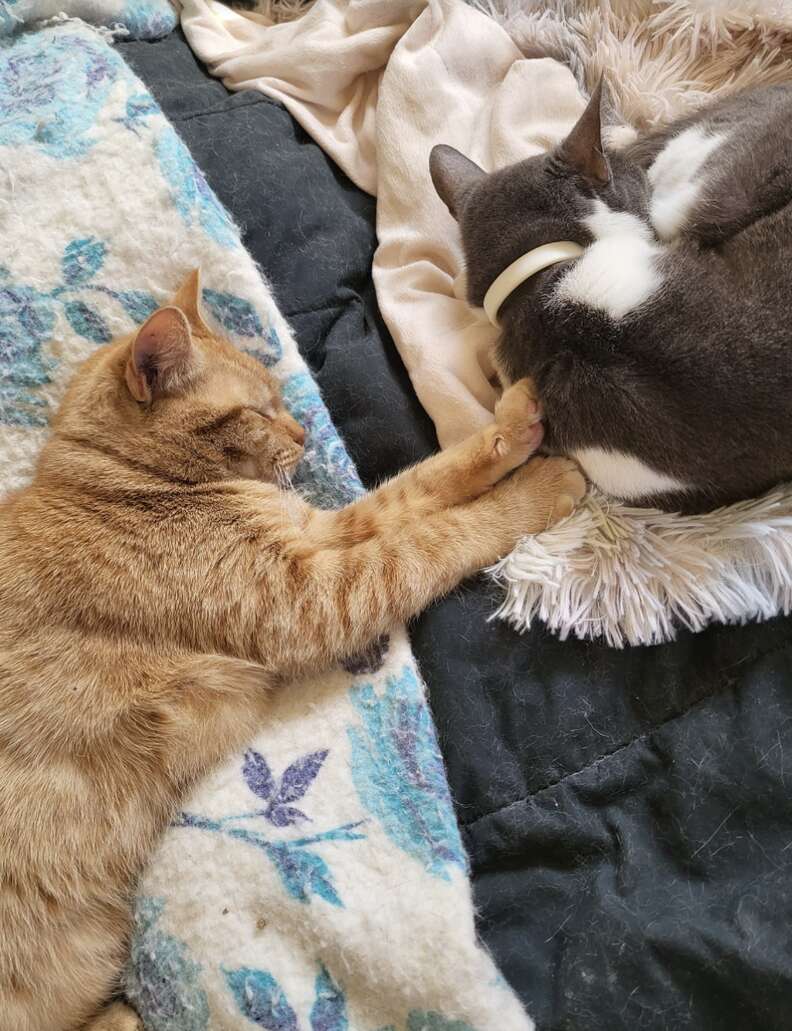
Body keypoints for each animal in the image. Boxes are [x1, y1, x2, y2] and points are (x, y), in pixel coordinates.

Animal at [0, 270, 581, 1026]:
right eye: (259, 409)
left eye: (281, 401)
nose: (304, 431)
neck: (124, 482)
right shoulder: (318, 596)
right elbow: (436, 536)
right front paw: (546, 486)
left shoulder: (318, 534)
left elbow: (423, 482)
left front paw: (515, 423)